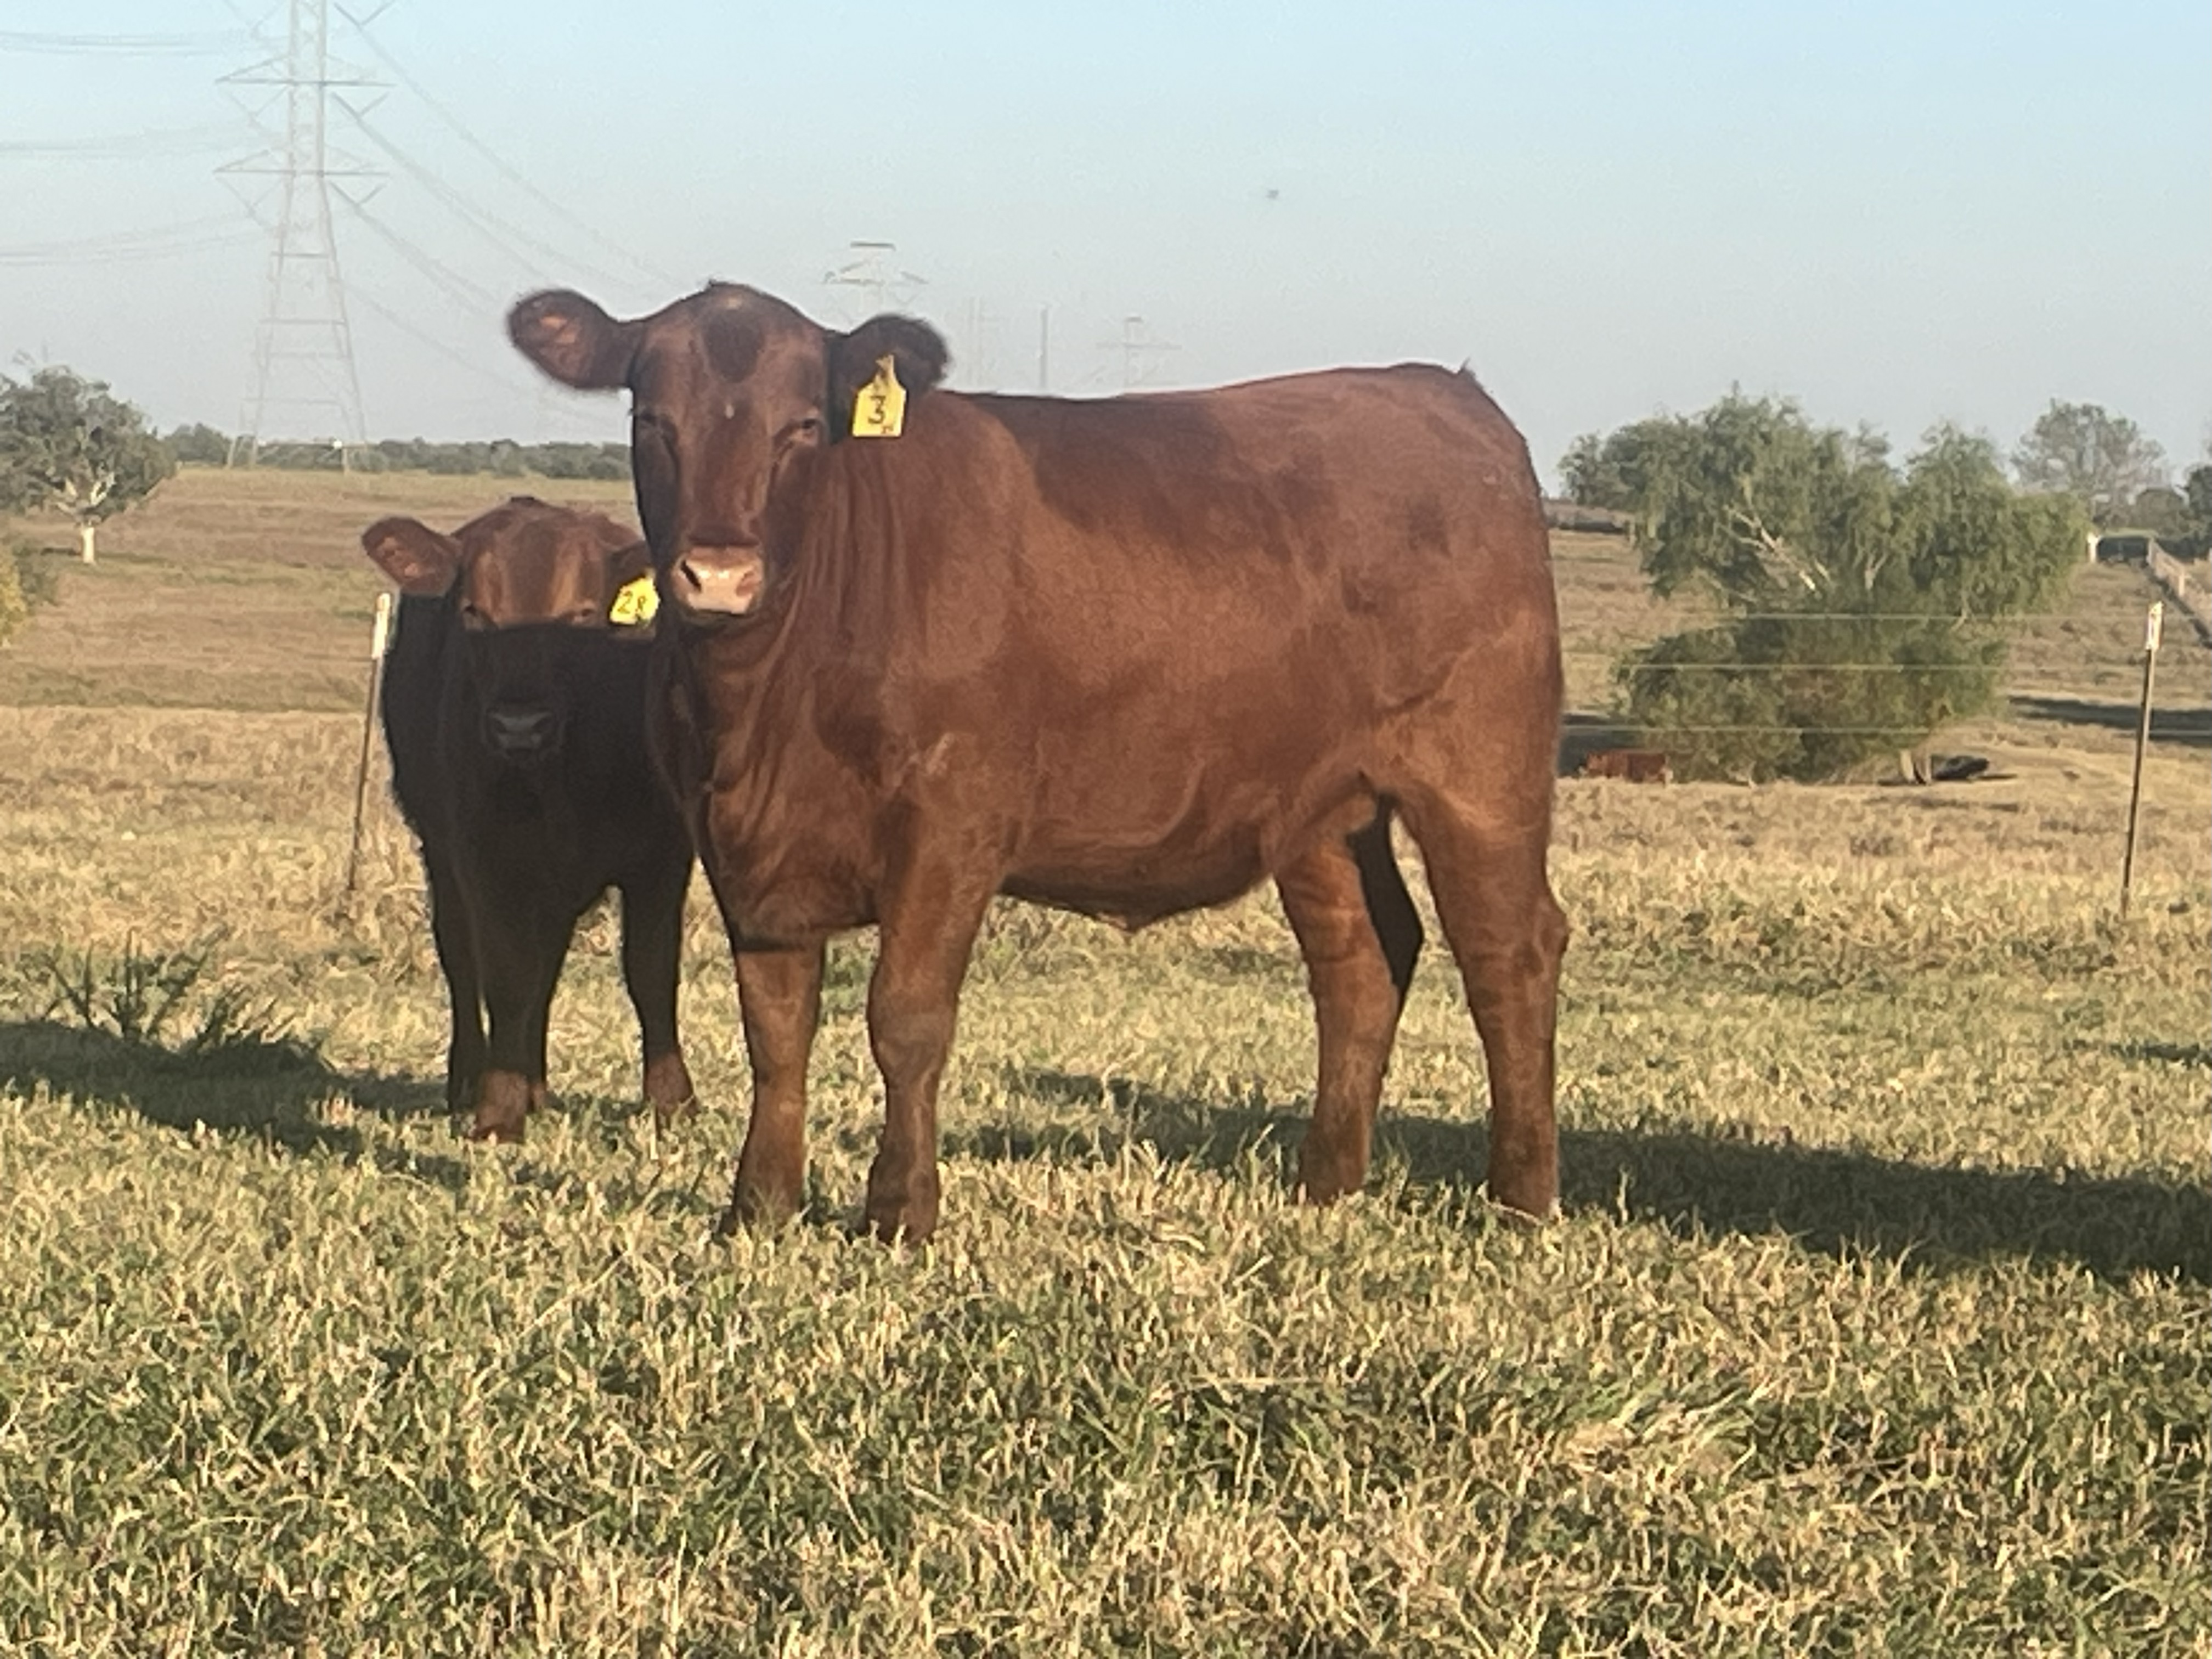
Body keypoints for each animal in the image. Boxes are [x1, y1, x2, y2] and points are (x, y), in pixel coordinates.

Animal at [362, 496, 697, 1142]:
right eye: (475, 613)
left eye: (584, 616)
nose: (520, 725)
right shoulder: (487, 855)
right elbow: (508, 975)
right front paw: (498, 1110)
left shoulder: (662, 857)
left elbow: (650, 971)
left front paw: (672, 1102)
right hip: (441, 852)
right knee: (462, 957)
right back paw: (474, 1080)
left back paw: (536, 1086)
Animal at [509, 284, 1567, 1241]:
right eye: (652, 419)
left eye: (803, 425)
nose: (719, 575)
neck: (762, 709)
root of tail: (1438, 389)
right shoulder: (739, 848)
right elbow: (774, 1029)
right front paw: (759, 1207)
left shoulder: (951, 825)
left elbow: (906, 1017)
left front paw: (900, 1211)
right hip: (1318, 808)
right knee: (1361, 963)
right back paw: (1325, 1184)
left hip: (1481, 772)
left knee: (1510, 952)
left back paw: (1519, 1196)